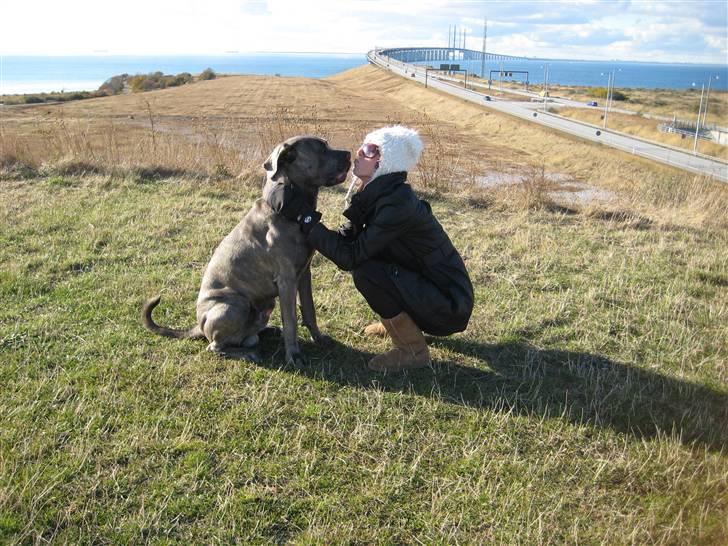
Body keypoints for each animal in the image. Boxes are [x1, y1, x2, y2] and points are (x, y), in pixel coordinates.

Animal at [143, 135, 352, 364]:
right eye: (321, 149)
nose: (350, 154)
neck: (288, 211)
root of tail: (199, 326)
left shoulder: (304, 273)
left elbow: (309, 310)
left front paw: (319, 338)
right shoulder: (287, 280)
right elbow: (291, 321)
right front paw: (294, 356)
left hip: (264, 305)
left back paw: (267, 331)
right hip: (235, 304)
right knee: (215, 346)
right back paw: (248, 353)